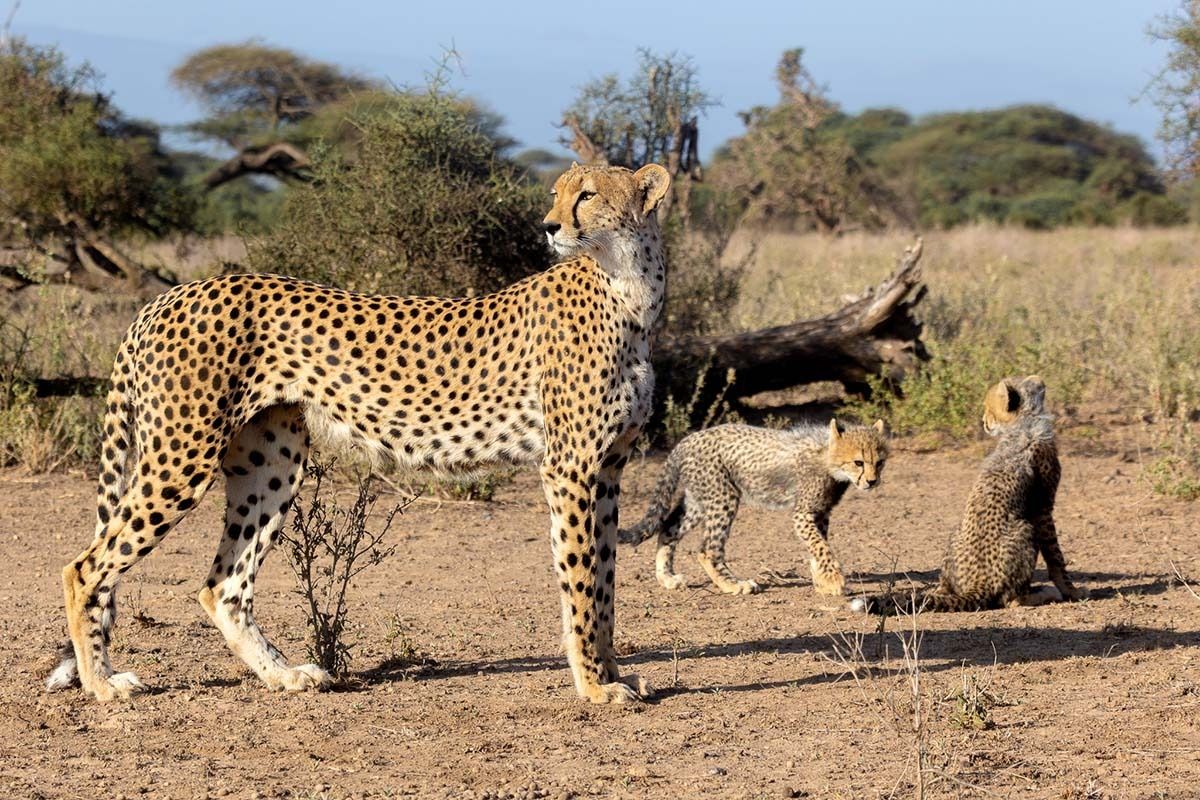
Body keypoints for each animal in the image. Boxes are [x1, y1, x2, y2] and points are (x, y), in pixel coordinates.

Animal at [46, 162, 671, 705]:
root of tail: (170, 294)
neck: (630, 287)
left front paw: (615, 673)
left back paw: (284, 675)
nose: (549, 226)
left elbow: (606, 581)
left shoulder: (609, 469)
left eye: (587, 194)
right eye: (557, 193)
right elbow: (582, 582)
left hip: (271, 462)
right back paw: (101, 682)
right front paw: (595, 686)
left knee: (223, 586)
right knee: (83, 567)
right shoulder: (570, 468)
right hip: (182, 455)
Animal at [619, 418, 889, 596]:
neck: (827, 458)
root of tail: (688, 438)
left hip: (698, 500)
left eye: (880, 462)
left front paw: (823, 581)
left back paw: (666, 578)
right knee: (708, 549)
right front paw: (833, 579)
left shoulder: (821, 513)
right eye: (858, 462)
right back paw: (733, 584)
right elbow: (821, 547)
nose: (872, 481)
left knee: (667, 527)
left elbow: (818, 546)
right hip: (723, 497)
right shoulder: (803, 514)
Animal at [851, 375, 1086, 615]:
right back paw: (1044, 593)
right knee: (1011, 600)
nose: (984, 422)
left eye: (988, 408)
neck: (1023, 422)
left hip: (956, 536)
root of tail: (978, 584)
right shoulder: (1043, 509)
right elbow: (1056, 557)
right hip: (1025, 529)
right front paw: (1072, 591)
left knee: (944, 589)